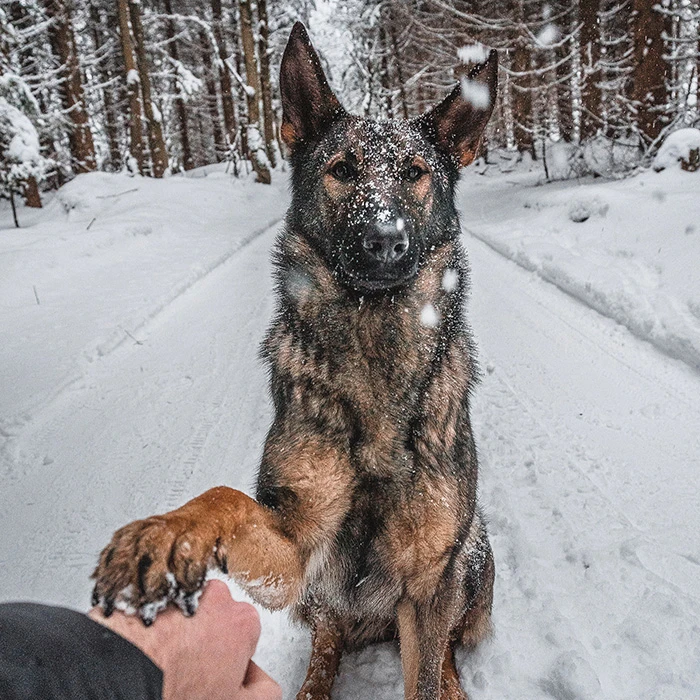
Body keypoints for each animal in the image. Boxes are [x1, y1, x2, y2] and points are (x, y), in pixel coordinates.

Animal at [91, 21, 498, 700]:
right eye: (342, 169)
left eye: (415, 172)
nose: (385, 242)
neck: (373, 341)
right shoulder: (297, 548)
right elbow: (223, 496)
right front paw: (165, 532)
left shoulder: (427, 585)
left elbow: (425, 672)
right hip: (319, 597)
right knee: (328, 635)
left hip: (472, 559)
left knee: (443, 650)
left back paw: (454, 682)